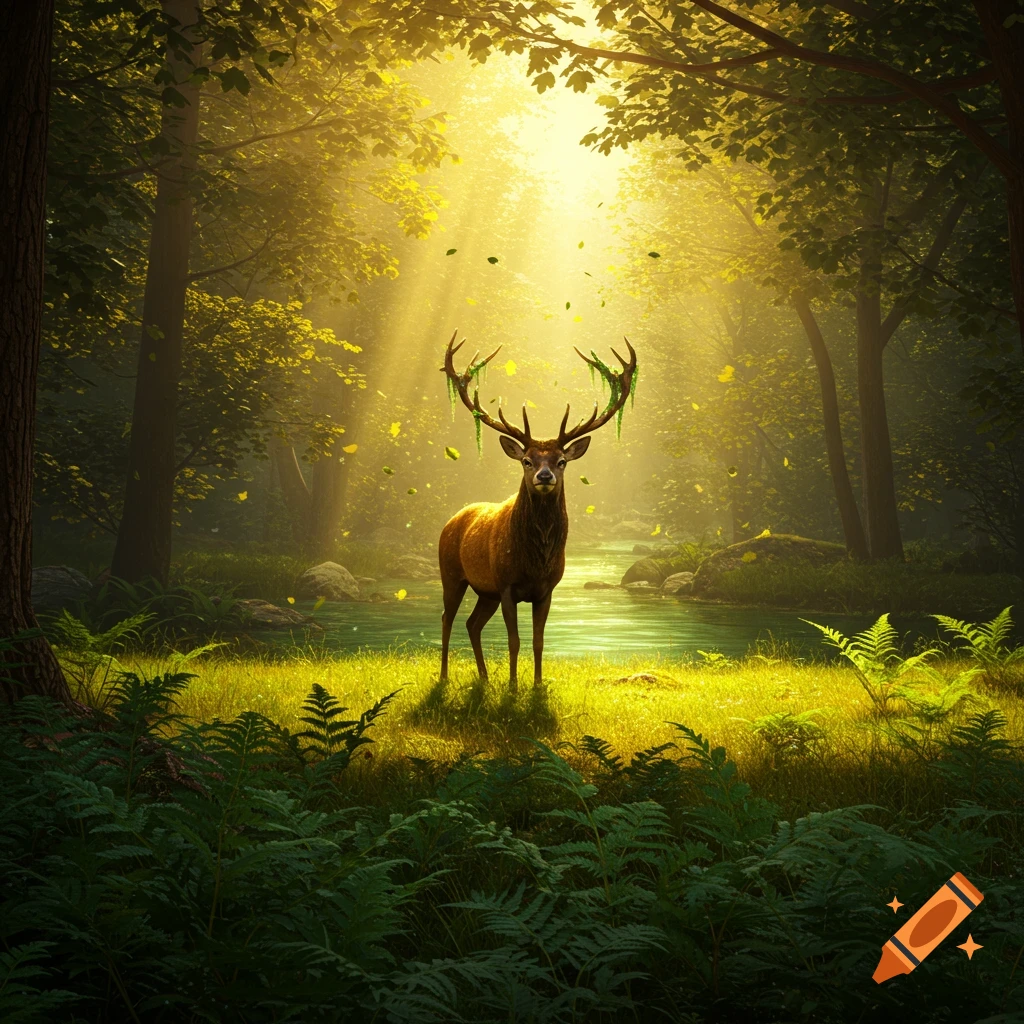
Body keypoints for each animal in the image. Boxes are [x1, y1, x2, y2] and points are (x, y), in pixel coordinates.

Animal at [438, 330, 638, 692]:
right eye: (527, 460)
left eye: (562, 461)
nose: (544, 477)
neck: (536, 561)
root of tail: (451, 520)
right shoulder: (506, 584)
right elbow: (514, 641)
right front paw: (513, 688)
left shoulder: (546, 589)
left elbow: (538, 642)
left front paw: (536, 686)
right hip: (451, 572)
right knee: (448, 617)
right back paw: (445, 676)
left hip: (485, 590)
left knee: (473, 624)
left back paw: (484, 678)